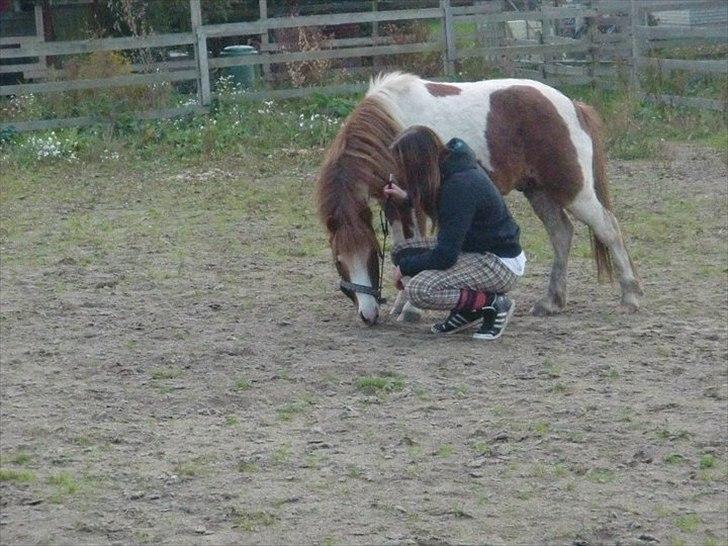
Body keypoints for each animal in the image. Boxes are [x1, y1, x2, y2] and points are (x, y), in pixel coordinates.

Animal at [318, 72, 644, 324]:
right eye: (338, 260)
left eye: (372, 254)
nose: (368, 315)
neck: (390, 121)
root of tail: (572, 107)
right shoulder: (394, 203)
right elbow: (402, 248)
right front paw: (400, 304)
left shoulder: (411, 203)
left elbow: (413, 246)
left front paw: (410, 308)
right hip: (538, 191)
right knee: (561, 233)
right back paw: (551, 301)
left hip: (574, 190)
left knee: (608, 228)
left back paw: (630, 295)